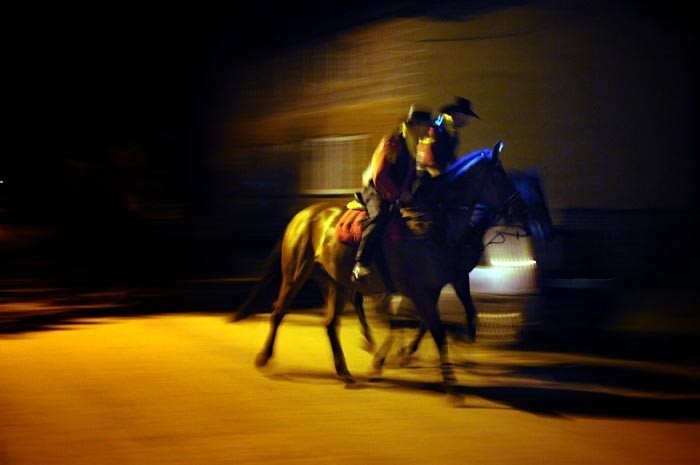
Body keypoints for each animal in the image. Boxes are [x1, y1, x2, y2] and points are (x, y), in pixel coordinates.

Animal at [232, 143, 548, 390]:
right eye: (501, 176)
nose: (525, 214)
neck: (433, 224)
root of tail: (303, 215)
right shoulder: (420, 288)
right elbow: (425, 325)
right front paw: (399, 360)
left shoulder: (442, 283)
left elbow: (450, 318)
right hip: (296, 273)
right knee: (279, 311)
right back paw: (264, 357)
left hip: (334, 282)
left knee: (331, 323)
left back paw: (346, 371)